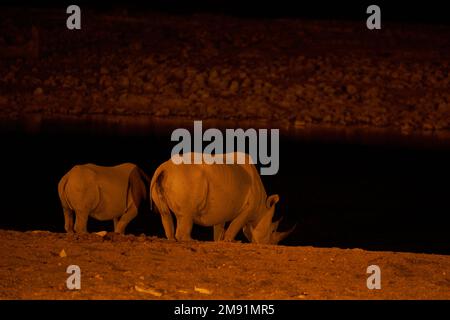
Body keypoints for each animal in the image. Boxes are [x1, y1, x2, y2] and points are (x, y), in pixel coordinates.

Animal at [150, 154, 296, 244]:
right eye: (273, 230)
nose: (271, 244)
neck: (261, 208)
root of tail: (164, 167)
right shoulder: (248, 209)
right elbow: (235, 225)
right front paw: (231, 241)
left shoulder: (222, 209)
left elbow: (219, 228)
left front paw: (219, 240)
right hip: (186, 178)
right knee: (187, 214)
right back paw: (192, 241)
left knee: (165, 213)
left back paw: (171, 239)